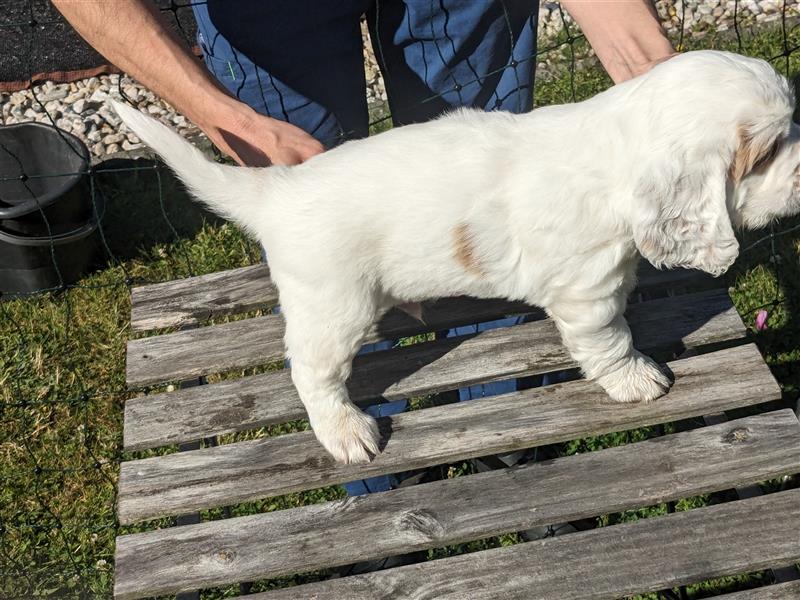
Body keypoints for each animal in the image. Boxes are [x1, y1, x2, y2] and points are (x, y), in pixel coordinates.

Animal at [111, 51, 800, 464]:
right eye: (766, 153)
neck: (613, 146)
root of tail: (276, 193)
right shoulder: (588, 289)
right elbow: (609, 338)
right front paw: (635, 378)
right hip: (333, 306)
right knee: (311, 372)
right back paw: (346, 431)